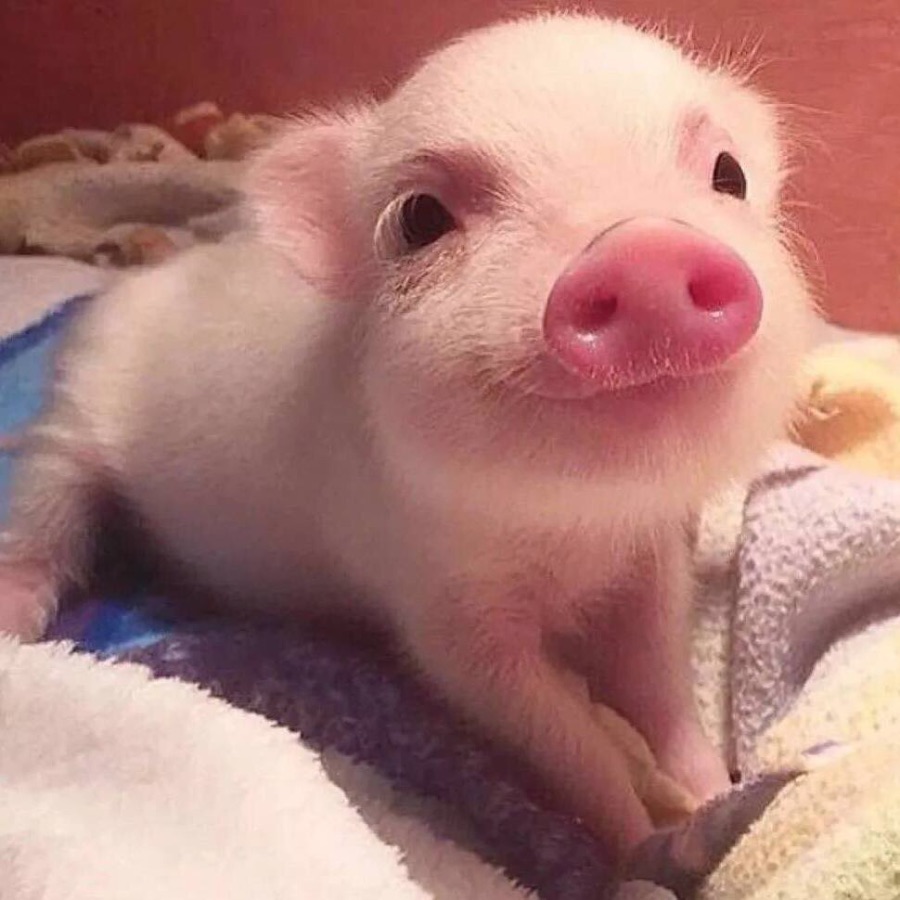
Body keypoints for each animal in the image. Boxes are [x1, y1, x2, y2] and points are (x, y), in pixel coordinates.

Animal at [0, 13, 816, 861]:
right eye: (420, 218)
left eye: (728, 174)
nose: (645, 246)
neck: (576, 530)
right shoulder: (438, 608)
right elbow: (555, 731)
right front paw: (636, 849)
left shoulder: (652, 558)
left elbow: (659, 682)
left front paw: (709, 797)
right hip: (73, 413)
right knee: (44, 508)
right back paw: (14, 622)